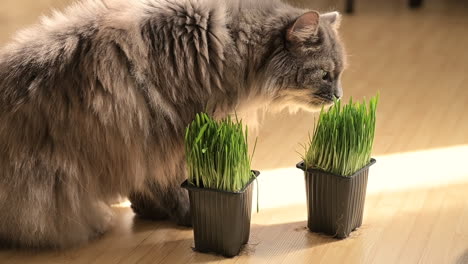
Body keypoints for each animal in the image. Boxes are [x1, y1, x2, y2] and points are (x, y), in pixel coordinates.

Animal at [0, 0, 344, 248]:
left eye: (340, 74)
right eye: (326, 75)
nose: (339, 96)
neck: (232, 51)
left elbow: (146, 184)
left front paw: (150, 211)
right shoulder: (168, 132)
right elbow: (172, 184)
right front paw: (186, 215)